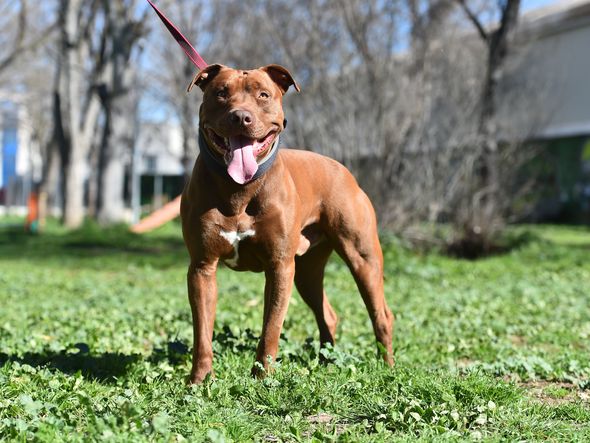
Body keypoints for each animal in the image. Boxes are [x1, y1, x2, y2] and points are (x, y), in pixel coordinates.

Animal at [180, 64, 394, 384]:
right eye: (220, 93)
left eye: (263, 95)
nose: (240, 116)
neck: (239, 188)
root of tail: (344, 169)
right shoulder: (202, 268)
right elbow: (203, 331)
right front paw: (200, 380)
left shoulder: (279, 266)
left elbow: (271, 328)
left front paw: (262, 378)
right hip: (307, 270)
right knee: (327, 313)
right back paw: (326, 362)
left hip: (362, 258)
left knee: (381, 315)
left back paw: (388, 368)